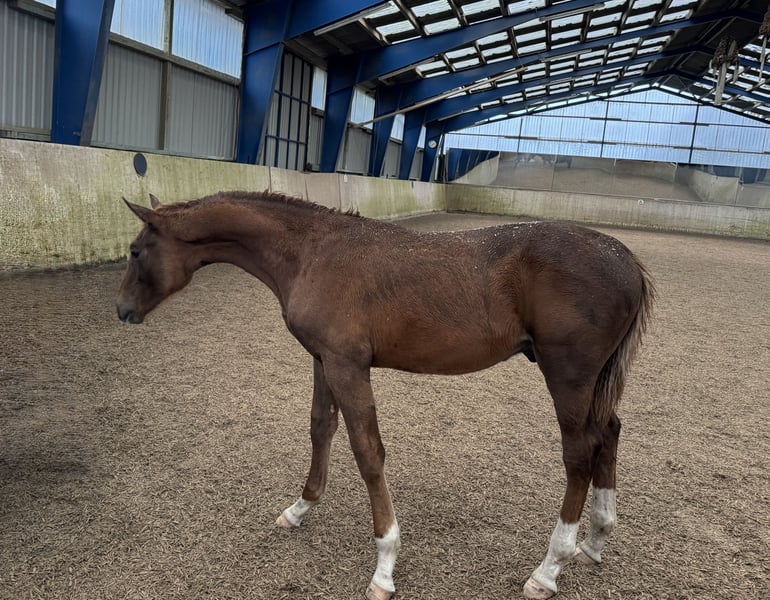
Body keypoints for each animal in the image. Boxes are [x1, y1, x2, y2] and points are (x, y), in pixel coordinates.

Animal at [116, 191, 654, 600]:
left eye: (136, 251)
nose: (122, 310)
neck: (313, 252)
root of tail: (626, 259)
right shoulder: (324, 360)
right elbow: (321, 428)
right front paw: (300, 508)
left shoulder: (348, 366)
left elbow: (367, 452)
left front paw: (384, 566)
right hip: (594, 384)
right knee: (609, 434)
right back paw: (596, 539)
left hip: (568, 377)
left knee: (579, 454)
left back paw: (549, 568)